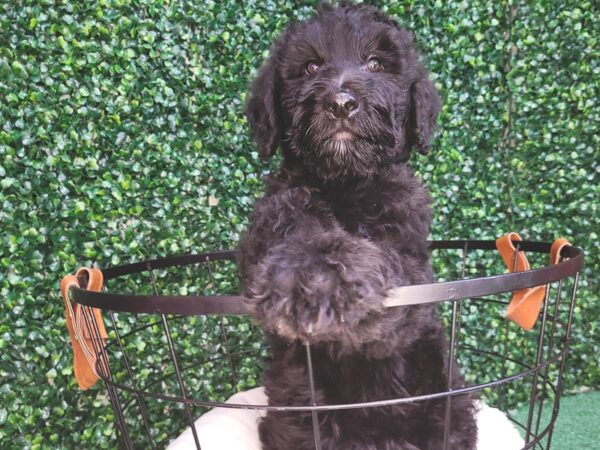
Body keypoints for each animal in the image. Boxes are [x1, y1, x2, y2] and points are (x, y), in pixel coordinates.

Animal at [237, 4, 476, 450]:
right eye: (310, 67)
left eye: (376, 64)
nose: (341, 103)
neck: (344, 182)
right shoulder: (269, 220)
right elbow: (293, 222)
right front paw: (314, 272)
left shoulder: (410, 265)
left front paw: (330, 275)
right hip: (297, 394)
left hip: (441, 387)